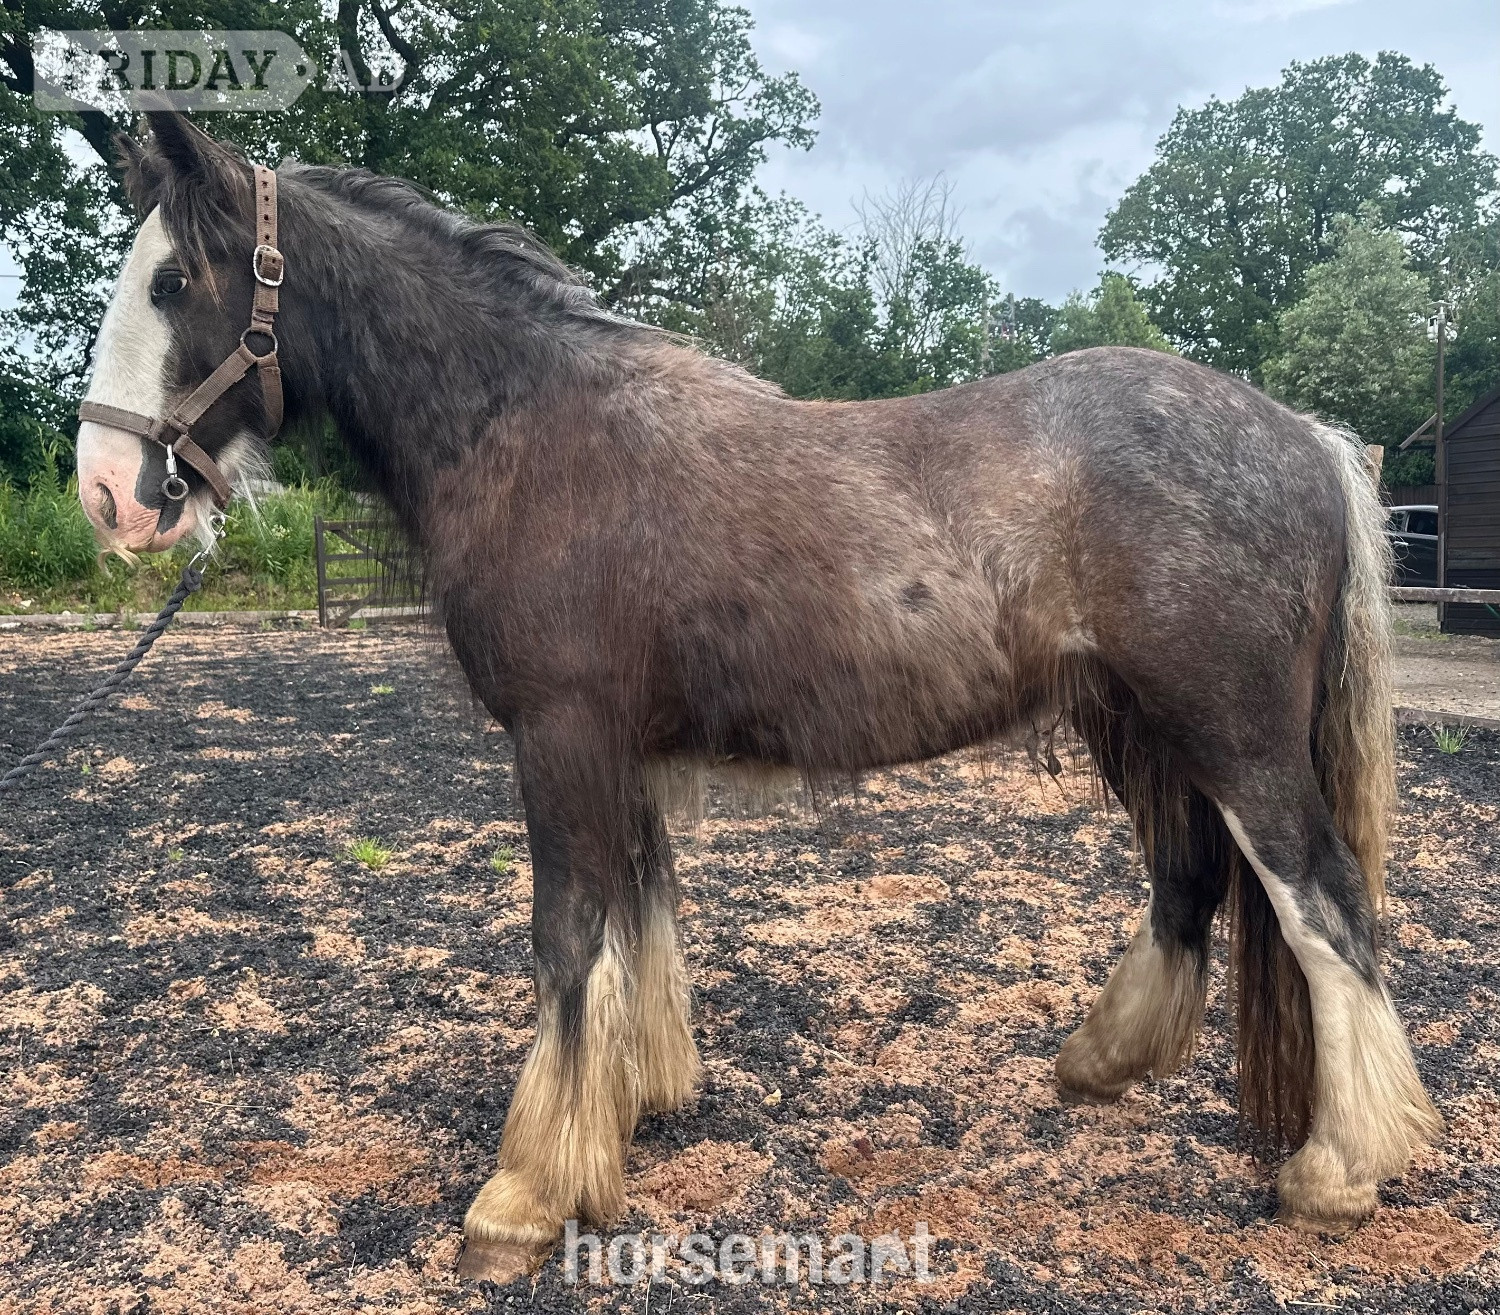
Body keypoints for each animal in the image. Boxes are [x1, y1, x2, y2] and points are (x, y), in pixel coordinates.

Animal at [74, 113, 1440, 1282]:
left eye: (172, 283)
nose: (107, 492)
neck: (535, 435)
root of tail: (1305, 435)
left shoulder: (562, 739)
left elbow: (567, 939)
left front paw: (524, 1194)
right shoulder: (615, 750)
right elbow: (635, 925)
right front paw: (633, 1106)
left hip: (1234, 737)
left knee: (1323, 907)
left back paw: (1338, 1170)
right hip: (1143, 725)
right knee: (1194, 877)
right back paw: (1104, 1062)